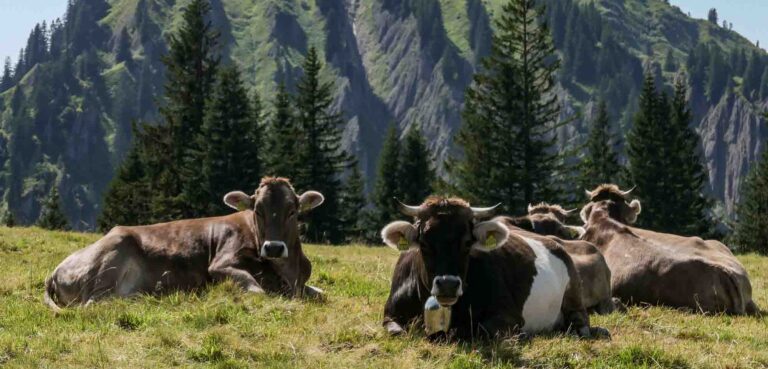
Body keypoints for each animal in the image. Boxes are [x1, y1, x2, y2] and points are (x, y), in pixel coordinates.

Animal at [42, 177, 324, 310]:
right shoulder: (220, 265)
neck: (288, 275)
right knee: (95, 303)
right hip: (111, 258)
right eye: (258, 210)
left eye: (292, 211)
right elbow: (257, 291)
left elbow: (321, 293)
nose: (273, 247)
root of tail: (55, 270)